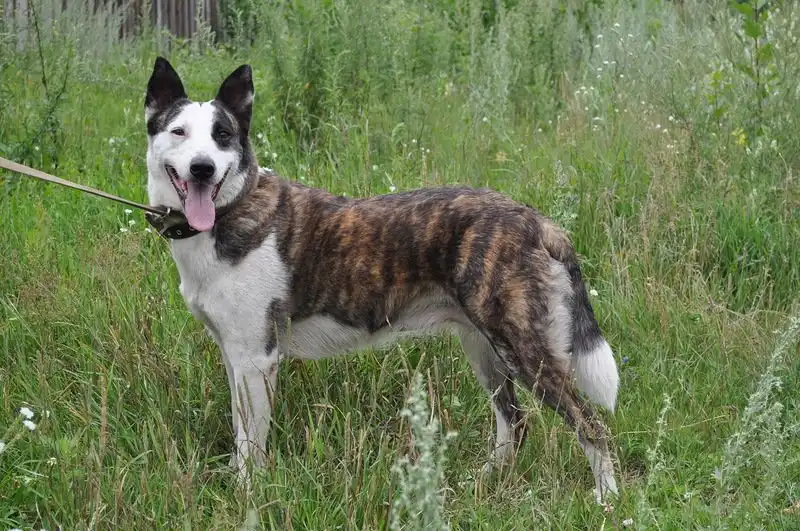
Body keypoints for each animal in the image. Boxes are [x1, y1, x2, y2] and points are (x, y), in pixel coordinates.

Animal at [143, 57, 620, 502]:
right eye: (179, 132)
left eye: (223, 135)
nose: (202, 168)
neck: (232, 209)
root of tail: (539, 222)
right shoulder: (235, 355)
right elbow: (240, 428)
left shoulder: (257, 358)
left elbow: (250, 443)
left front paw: (247, 494)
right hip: (484, 347)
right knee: (514, 420)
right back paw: (484, 481)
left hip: (525, 350)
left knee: (591, 424)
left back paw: (608, 498)